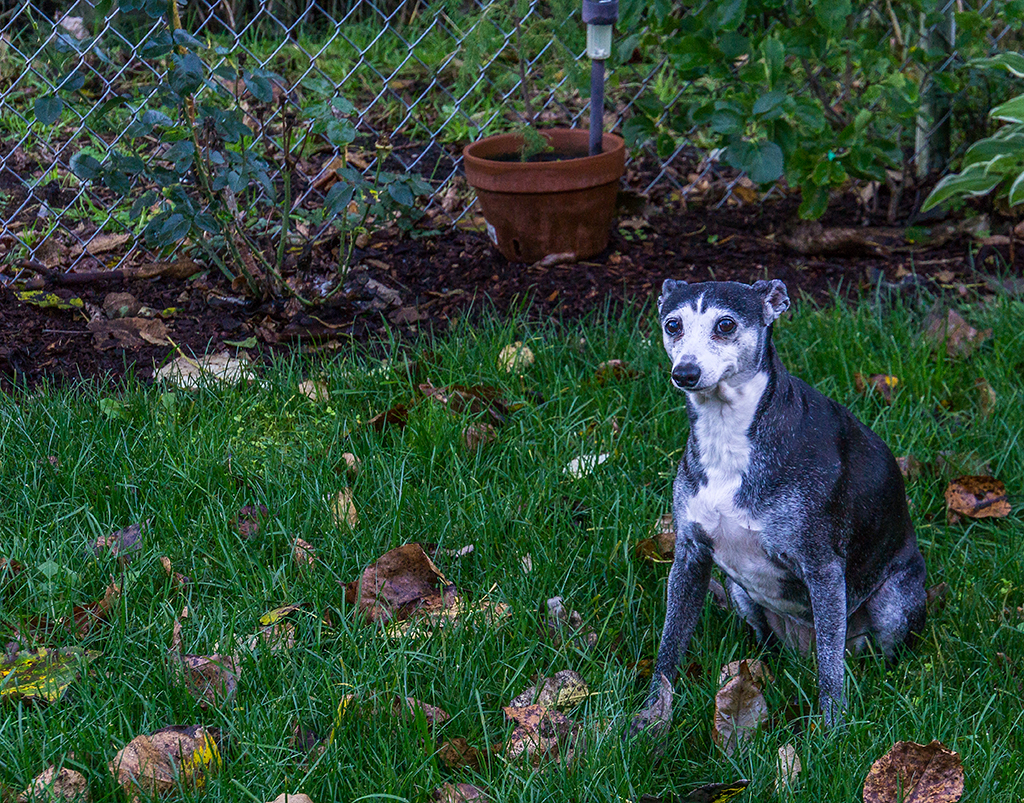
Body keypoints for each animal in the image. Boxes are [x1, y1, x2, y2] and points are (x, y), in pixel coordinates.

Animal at [630, 278, 929, 733]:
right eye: (672, 324)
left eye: (726, 324)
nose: (685, 373)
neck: (729, 433)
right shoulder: (689, 555)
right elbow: (669, 645)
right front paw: (654, 715)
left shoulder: (823, 568)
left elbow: (830, 666)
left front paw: (831, 732)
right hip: (740, 592)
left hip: (892, 603)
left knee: (871, 651)